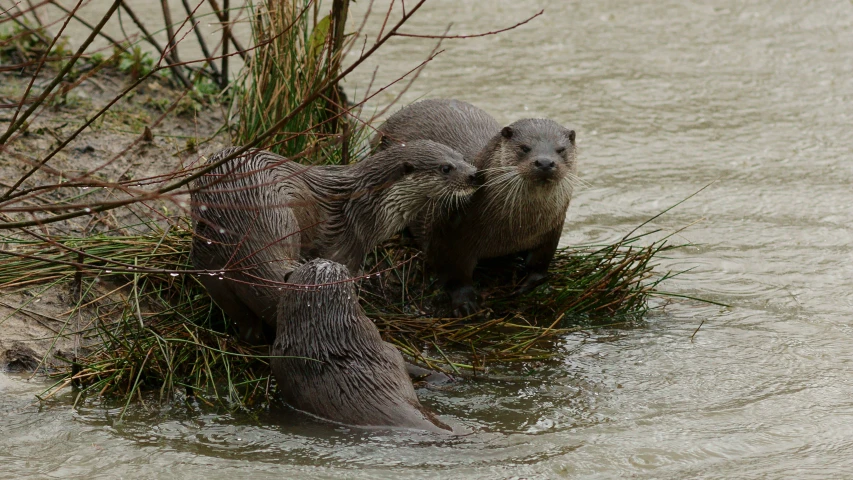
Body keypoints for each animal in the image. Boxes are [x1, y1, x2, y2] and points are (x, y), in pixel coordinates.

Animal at [189, 141, 476, 344]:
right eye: (445, 168)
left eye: (463, 158)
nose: (474, 175)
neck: (365, 207)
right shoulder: (347, 246)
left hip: (209, 266)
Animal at [372, 98, 576, 316]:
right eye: (524, 148)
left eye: (561, 150)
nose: (545, 162)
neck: (514, 231)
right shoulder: (448, 232)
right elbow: (454, 273)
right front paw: (465, 303)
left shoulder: (552, 230)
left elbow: (540, 263)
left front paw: (531, 284)